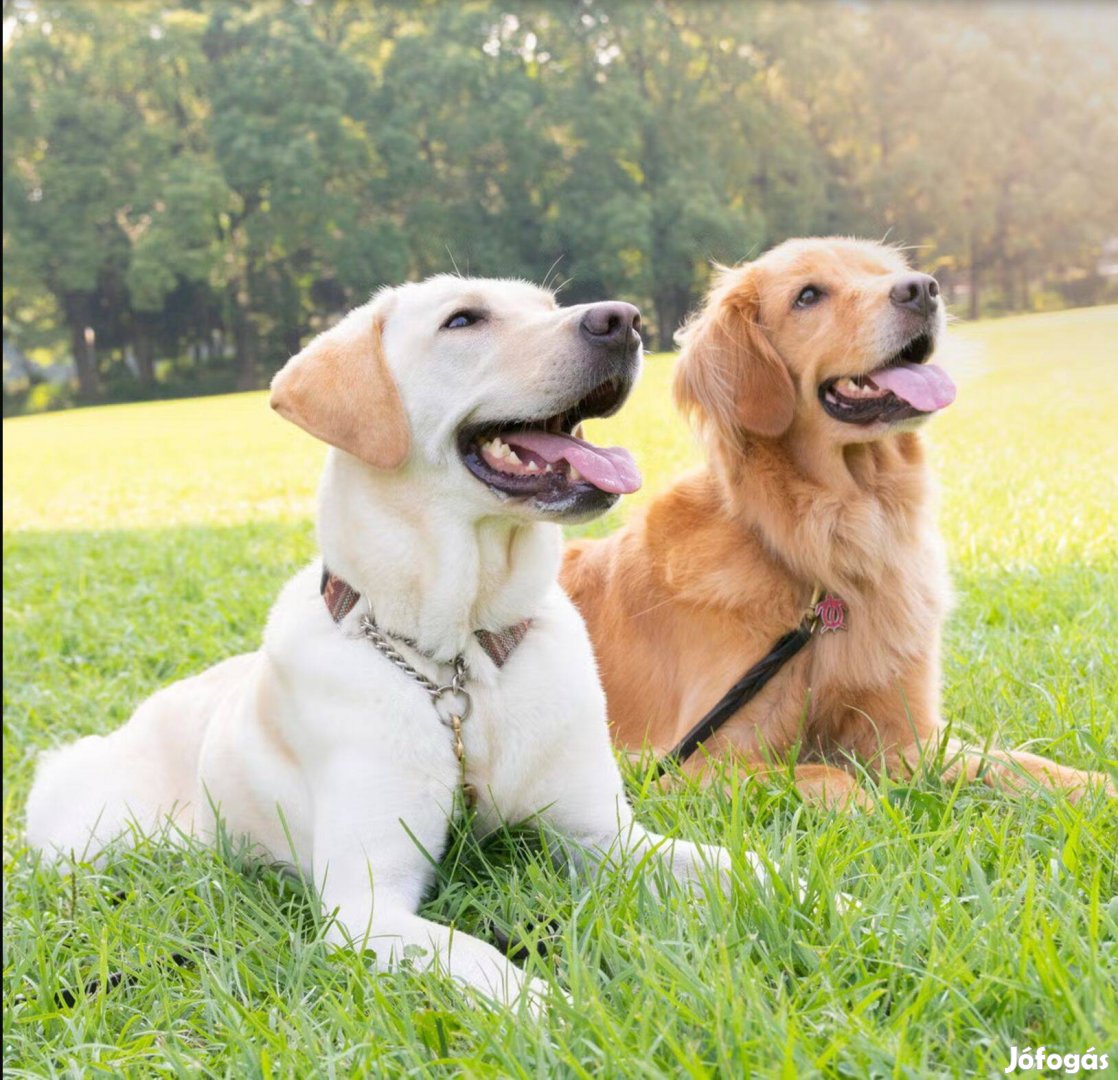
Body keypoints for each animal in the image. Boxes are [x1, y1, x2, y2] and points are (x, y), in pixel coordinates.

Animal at [24, 275, 733, 1010]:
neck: (458, 662)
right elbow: (481, 958)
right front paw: (561, 1012)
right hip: (94, 837)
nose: (625, 320)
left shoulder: (606, 834)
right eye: (463, 320)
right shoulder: (365, 906)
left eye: (546, 305)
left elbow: (735, 865)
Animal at [563, 239, 1113, 813]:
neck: (829, 545)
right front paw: (873, 811)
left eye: (884, 271)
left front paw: (1088, 785)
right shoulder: (682, 765)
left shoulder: (908, 736)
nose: (924, 289)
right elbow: (826, 777)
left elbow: (1009, 761)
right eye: (808, 296)